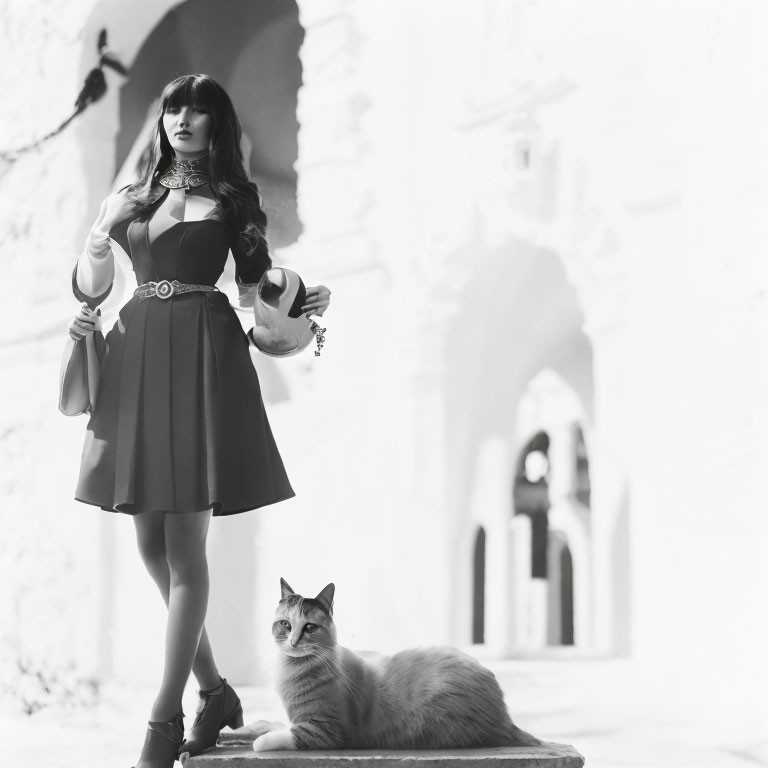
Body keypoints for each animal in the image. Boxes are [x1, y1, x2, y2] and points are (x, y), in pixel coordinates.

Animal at [216, 580, 540, 752]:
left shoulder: (322, 731)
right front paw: (228, 735)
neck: (291, 671)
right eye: (285, 624)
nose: (294, 642)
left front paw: (252, 740)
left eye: (308, 627)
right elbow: (261, 726)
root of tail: (505, 716)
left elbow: (269, 738)